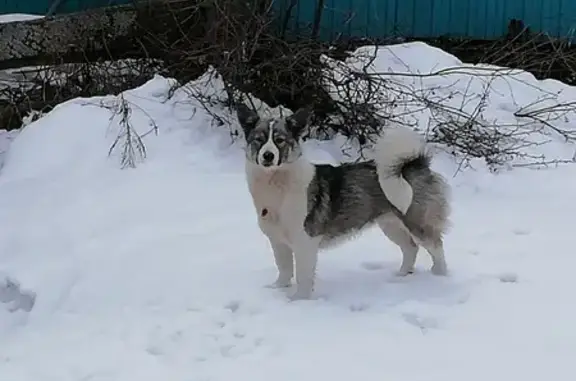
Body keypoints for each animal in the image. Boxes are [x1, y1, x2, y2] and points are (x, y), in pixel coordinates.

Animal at [236, 104, 452, 300]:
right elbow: (284, 269)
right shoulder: (278, 241)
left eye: (280, 140)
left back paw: (439, 277)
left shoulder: (305, 241)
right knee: (410, 248)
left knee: (436, 247)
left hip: (416, 222)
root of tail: (415, 164)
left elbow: (303, 276)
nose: (268, 155)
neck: (276, 183)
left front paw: (299, 300)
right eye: (259, 140)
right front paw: (277, 289)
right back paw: (400, 276)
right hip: (390, 224)